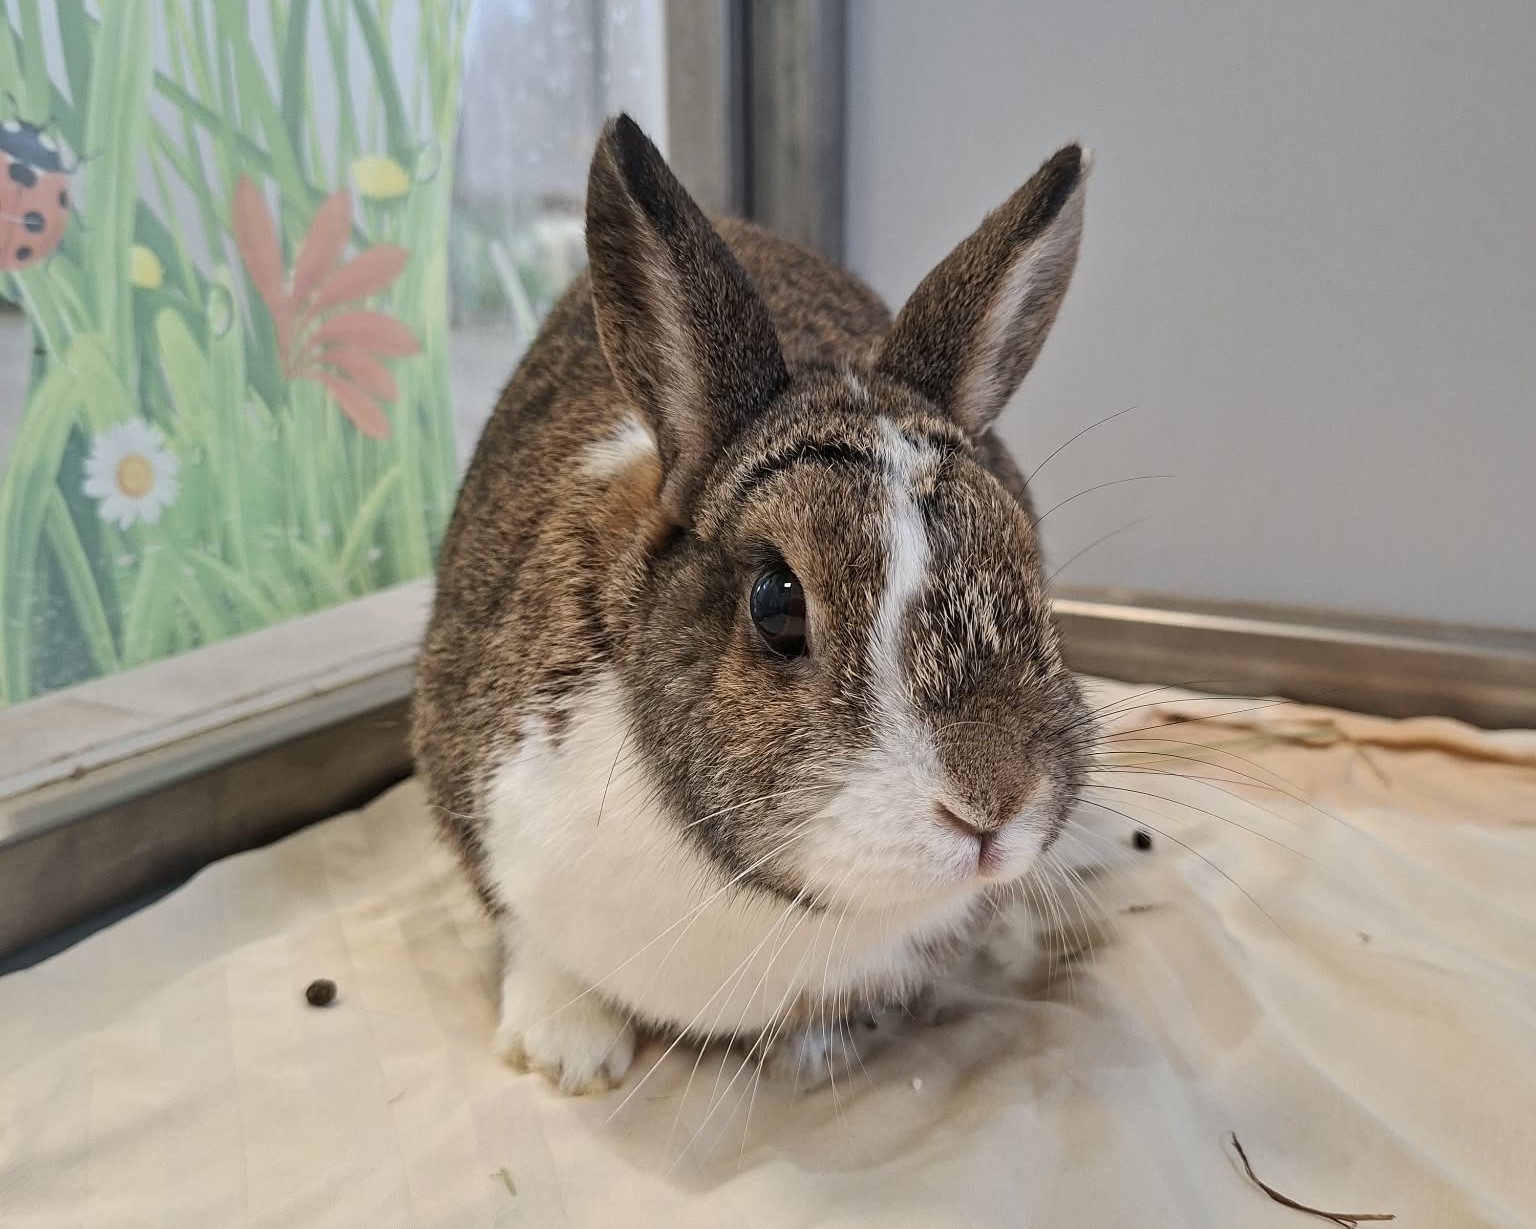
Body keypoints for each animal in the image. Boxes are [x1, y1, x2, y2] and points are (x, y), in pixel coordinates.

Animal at [412, 114, 1098, 1095]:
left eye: (1028, 563)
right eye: (777, 605)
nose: (993, 805)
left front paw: (819, 1048)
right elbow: (533, 943)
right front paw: (567, 1053)